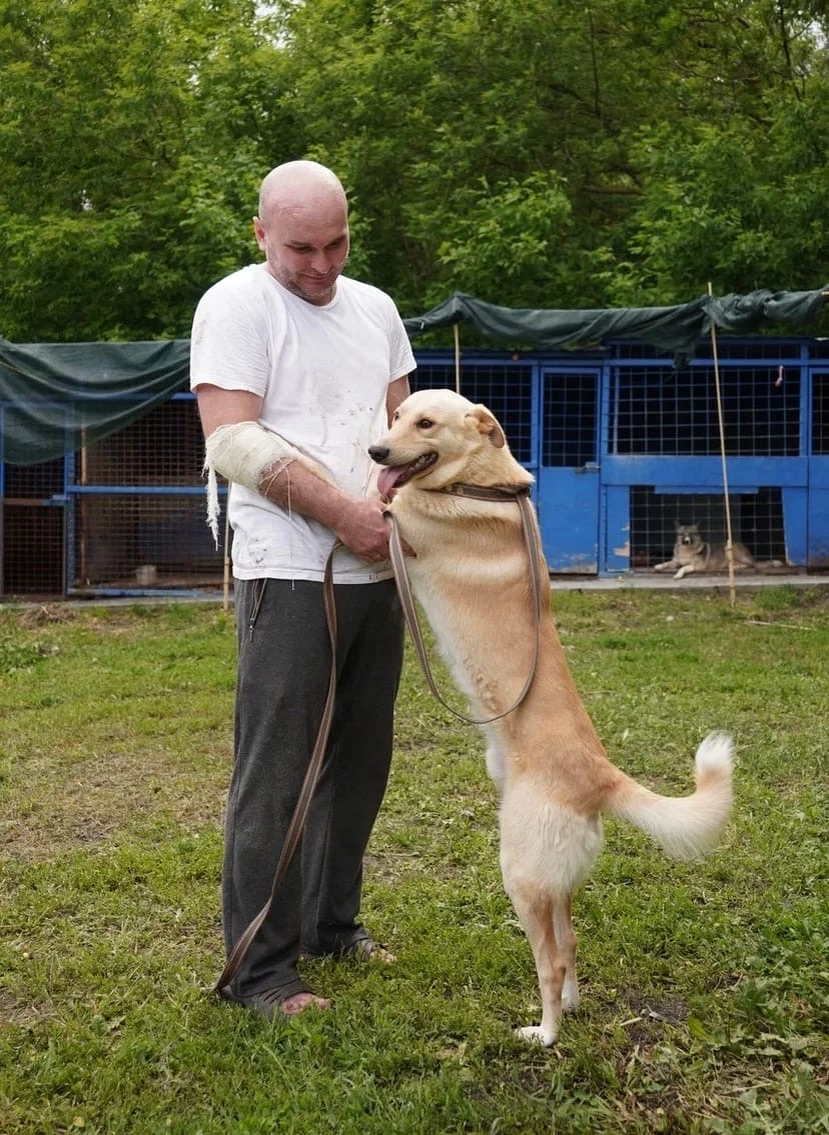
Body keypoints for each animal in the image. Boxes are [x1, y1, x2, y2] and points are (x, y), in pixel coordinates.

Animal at [367, 388, 731, 1044]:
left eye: (425, 424)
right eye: (397, 417)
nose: (376, 450)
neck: (479, 483)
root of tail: (600, 777)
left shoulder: (401, 520)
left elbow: (374, 496)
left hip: (522, 875)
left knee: (551, 961)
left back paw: (546, 1033)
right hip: (554, 881)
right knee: (572, 944)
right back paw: (574, 1006)